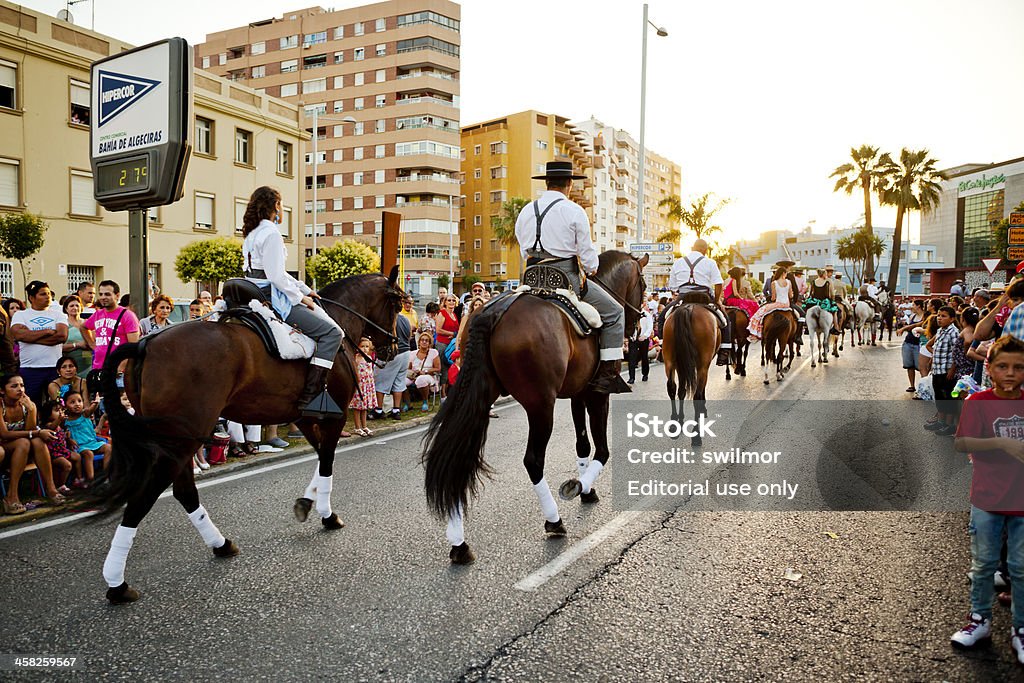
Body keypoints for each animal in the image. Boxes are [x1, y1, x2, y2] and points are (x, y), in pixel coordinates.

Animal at [93, 270, 403, 602]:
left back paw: (220, 545)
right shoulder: (335, 417)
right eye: (397, 304)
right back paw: (117, 584)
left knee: (184, 492)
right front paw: (327, 515)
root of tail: (145, 345)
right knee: (144, 498)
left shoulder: (306, 419)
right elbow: (328, 464)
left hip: (178, 443)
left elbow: (321, 460)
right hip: (179, 442)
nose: (393, 349)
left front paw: (306, 503)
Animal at [419, 253, 643, 565]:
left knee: (459, 456)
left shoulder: (578, 393)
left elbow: (582, 445)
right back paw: (554, 520)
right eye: (643, 284)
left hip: (480, 399)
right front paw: (581, 486)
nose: (637, 328)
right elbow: (602, 449)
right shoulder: (598, 395)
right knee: (533, 461)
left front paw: (587, 488)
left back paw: (459, 543)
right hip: (540, 406)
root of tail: (491, 313)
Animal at [659, 305, 716, 448]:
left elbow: (681, 391)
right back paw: (696, 435)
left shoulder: (681, 365)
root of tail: (688, 308)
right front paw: (703, 409)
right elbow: (699, 391)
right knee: (696, 396)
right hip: (702, 365)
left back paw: (674, 424)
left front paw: (681, 419)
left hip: (670, 360)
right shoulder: (702, 366)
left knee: (671, 387)